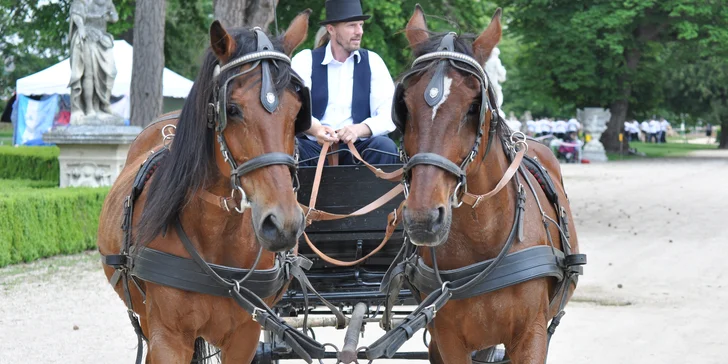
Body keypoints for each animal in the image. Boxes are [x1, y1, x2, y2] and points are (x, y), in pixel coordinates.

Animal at [95, 12, 320, 364]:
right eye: (233, 109)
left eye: (298, 111)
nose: (282, 223)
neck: (219, 233)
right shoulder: (168, 339)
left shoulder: (246, 335)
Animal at [384, 5, 584, 364]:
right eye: (404, 105)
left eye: (473, 106)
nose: (422, 218)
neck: (482, 241)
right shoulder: (447, 339)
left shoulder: (532, 336)